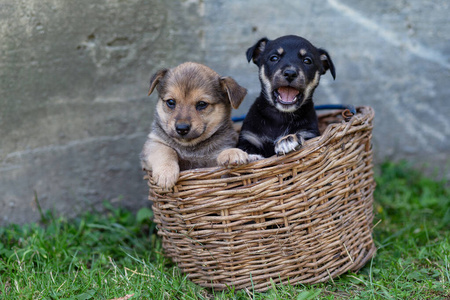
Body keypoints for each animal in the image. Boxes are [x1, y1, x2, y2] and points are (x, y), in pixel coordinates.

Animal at [141, 62, 246, 190]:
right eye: (170, 102)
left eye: (202, 104)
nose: (182, 128)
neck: (191, 148)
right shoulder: (153, 143)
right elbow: (165, 150)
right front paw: (165, 173)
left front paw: (233, 153)